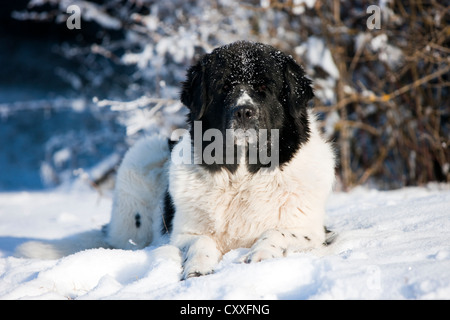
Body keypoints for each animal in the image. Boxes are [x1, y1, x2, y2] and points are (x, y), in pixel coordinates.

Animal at [16, 41, 334, 278]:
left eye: (265, 89)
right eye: (223, 88)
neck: (242, 175)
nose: (244, 112)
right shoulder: (183, 233)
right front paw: (198, 267)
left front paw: (261, 253)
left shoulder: (312, 230)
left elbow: (277, 233)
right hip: (141, 156)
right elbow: (201, 242)